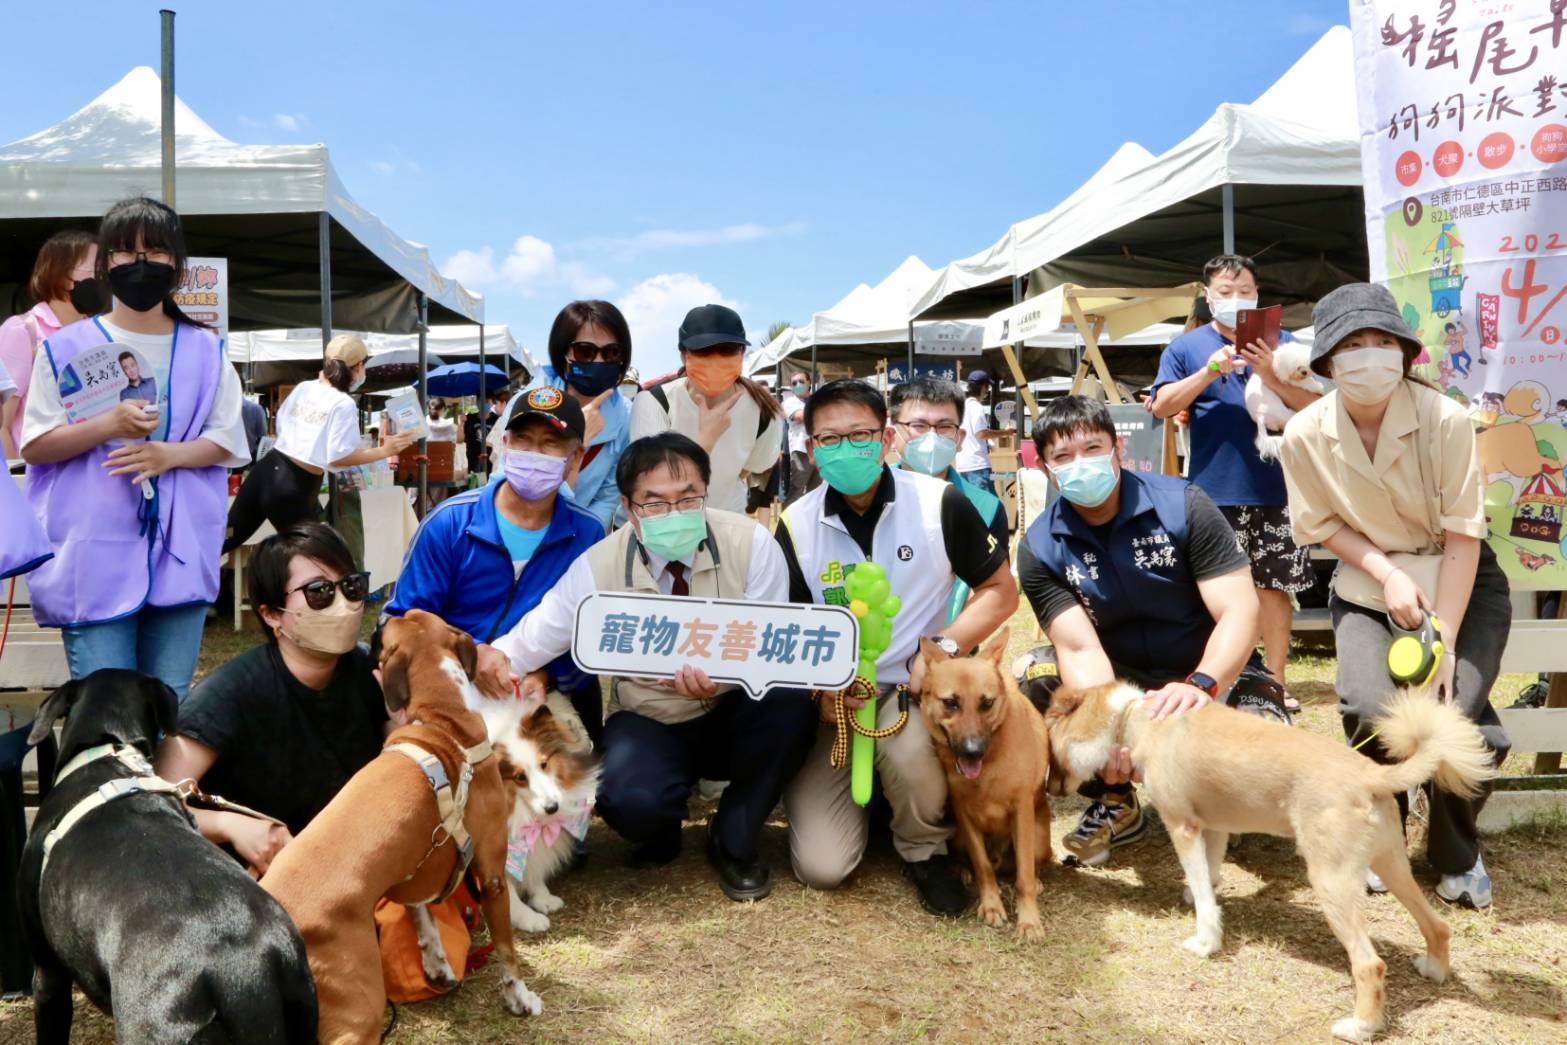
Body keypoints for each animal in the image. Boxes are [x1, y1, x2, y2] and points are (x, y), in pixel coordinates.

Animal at [258, 607, 539, 1040]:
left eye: (405, 616)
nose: (381, 615)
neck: (444, 722)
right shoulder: (492, 876)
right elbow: (508, 951)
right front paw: (520, 998)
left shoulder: (413, 872)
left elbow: (423, 918)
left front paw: (437, 963)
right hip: (359, 1010)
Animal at [476, 695, 598, 933]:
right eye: (519, 777)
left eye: (544, 764)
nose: (552, 807)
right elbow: (507, 891)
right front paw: (528, 918)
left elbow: (534, 867)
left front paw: (543, 898)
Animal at [915, 629, 1053, 940]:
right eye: (950, 703)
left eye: (986, 703)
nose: (972, 751)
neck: (990, 762)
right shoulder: (963, 813)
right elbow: (982, 866)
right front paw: (991, 905)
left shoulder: (1022, 810)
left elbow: (1024, 875)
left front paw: (1029, 920)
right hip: (956, 834)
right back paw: (959, 870)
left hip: (1040, 837)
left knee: (1032, 866)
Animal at [1040, 679, 1491, 1040]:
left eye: (1050, 747)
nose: (1049, 789)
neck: (1136, 717)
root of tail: (1370, 774)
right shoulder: (1214, 826)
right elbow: (1210, 875)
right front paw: (1202, 898)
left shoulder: (1182, 826)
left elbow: (1203, 894)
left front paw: (1205, 941)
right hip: (1391, 865)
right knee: (1437, 926)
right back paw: (1433, 970)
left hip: (1331, 882)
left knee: (1370, 965)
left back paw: (1360, 1027)